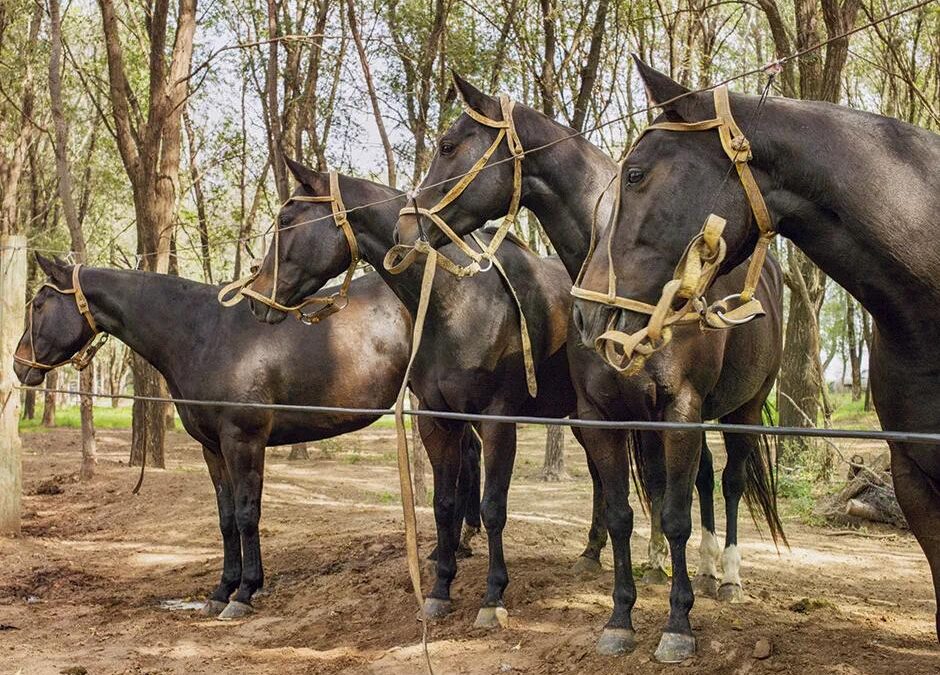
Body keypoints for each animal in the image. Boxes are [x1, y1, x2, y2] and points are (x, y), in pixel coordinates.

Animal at [12, 254, 481, 619]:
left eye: (39, 303)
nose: (19, 366)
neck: (201, 333)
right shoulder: (213, 448)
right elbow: (224, 519)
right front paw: (221, 590)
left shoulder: (243, 441)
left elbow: (245, 514)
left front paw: (244, 592)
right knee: (470, 455)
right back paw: (457, 545)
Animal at [245, 159, 615, 628]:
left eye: (287, 220)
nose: (256, 297)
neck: (458, 302)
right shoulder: (437, 420)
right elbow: (443, 504)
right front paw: (439, 590)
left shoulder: (497, 420)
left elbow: (493, 508)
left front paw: (493, 596)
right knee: (601, 477)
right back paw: (590, 553)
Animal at [394, 73, 785, 662]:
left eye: (447, 145)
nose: (404, 226)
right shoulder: (606, 415)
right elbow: (625, 513)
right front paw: (621, 619)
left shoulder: (681, 409)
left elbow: (676, 516)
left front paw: (677, 626)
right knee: (697, 482)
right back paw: (696, 565)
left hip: (745, 410)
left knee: (732, 480)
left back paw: (730, 576)